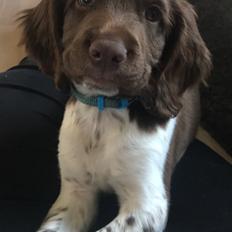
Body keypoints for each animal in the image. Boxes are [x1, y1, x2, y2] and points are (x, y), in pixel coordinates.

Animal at [20, 0, 212, 232]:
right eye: (84, 2)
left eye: (153, 14)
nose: (107, 51)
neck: (105, 111)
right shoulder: (76, 192)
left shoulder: (148, 204)